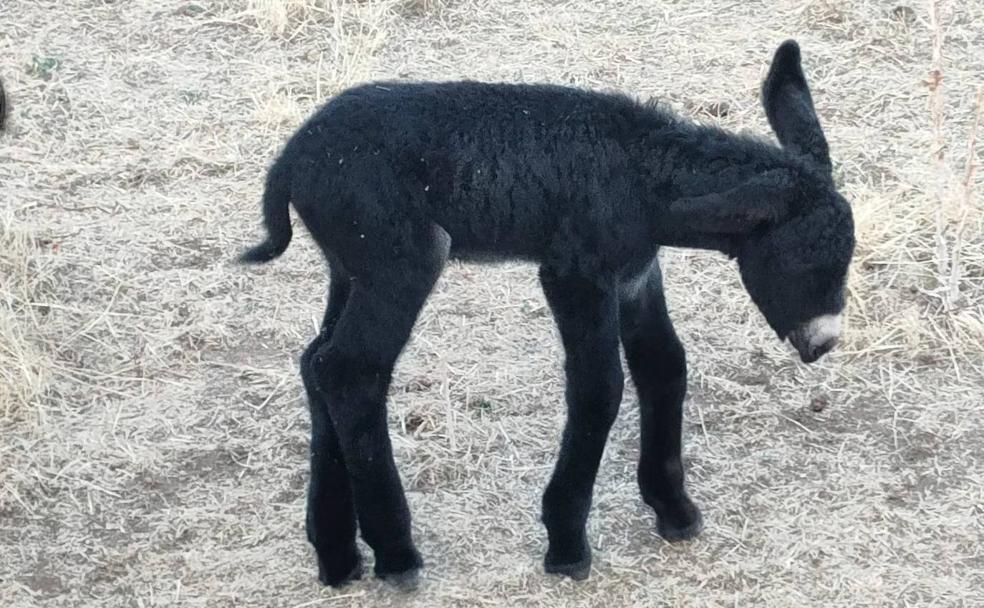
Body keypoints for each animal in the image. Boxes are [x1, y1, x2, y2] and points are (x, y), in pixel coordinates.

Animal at [244, 40, 852, 588]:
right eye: (806, 261)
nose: (823, 344)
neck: (642, 178)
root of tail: (290, 161)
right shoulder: (575, 273)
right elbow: (598, 389)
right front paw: (566, 543)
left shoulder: (635, 275)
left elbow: (664, 366)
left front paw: (673, 507)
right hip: (402, 261)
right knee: (352, 372)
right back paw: (396, 554)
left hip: (350, 268)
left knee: (316, 363)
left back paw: (336, 553)